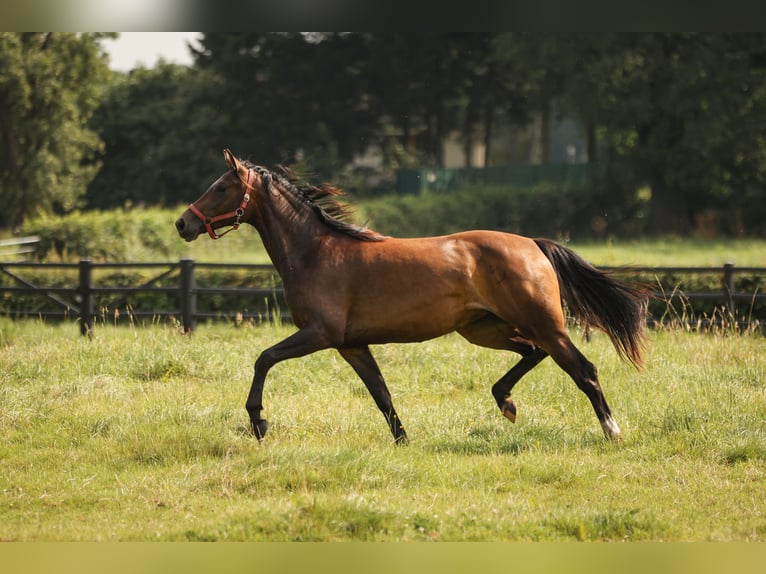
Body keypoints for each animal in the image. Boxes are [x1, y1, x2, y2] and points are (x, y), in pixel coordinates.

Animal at [175, 149, 649, 445]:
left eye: (220, 187)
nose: (183, 224)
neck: (315, 252)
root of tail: (533, 244)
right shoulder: (351, 345)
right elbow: (381, 395)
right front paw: (403, 440)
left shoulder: (319, 334)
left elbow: (264, 359)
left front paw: (258, 422)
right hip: (484, 329)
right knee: (533, 353)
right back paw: (506, 402)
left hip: (543, 323)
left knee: (583, 370)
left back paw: (612, 431)